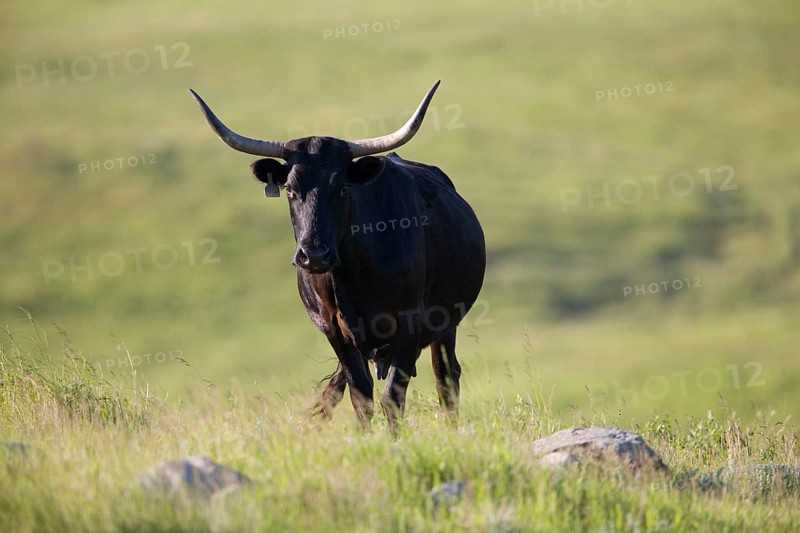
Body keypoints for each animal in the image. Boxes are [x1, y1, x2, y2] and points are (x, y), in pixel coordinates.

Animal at [189, 81, 486, 434]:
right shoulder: (334, 331)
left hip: (445, 325)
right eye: (290, 189)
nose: (314, 254)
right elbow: (361, 394)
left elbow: (392, 396)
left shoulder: (410, 324)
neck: (354, 277)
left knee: (446, 378)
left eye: (343, 188)